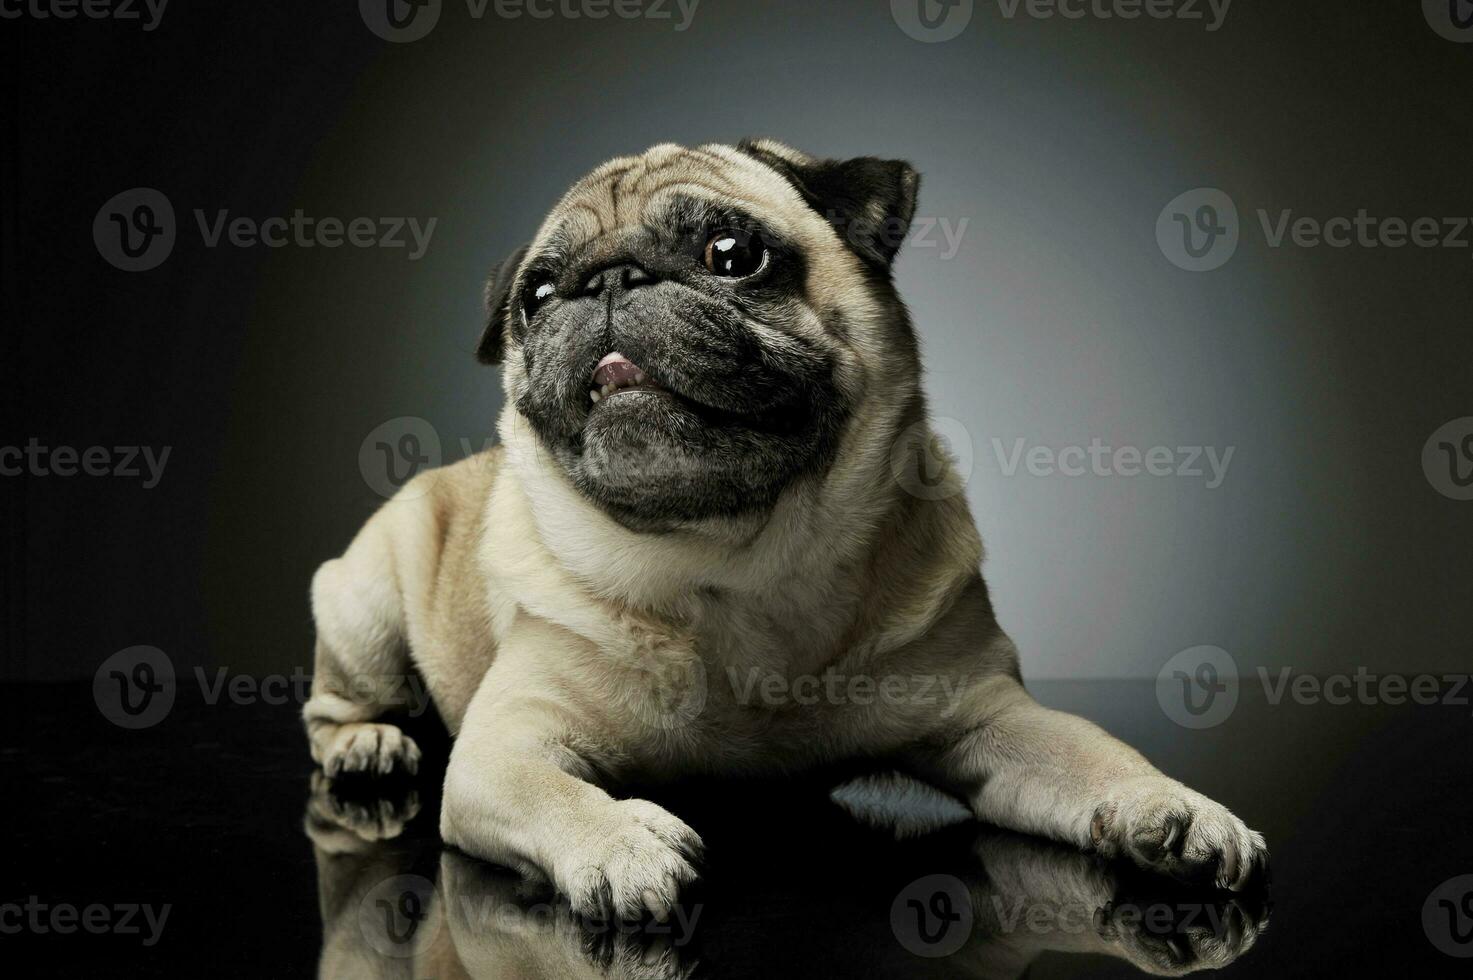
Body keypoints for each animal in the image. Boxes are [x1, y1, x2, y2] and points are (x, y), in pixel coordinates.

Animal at [307, 141, 1266, 919]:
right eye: (535, 295)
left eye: (731, 255)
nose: (608, 279)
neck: (735, 558)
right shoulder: (503, 747)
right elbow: (554, 795)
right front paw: (620, 845)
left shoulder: (986, 715)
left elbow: (1090, 755)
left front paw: (1167, 808)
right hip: (363, 601)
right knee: (338, 698)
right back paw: (368, 743)